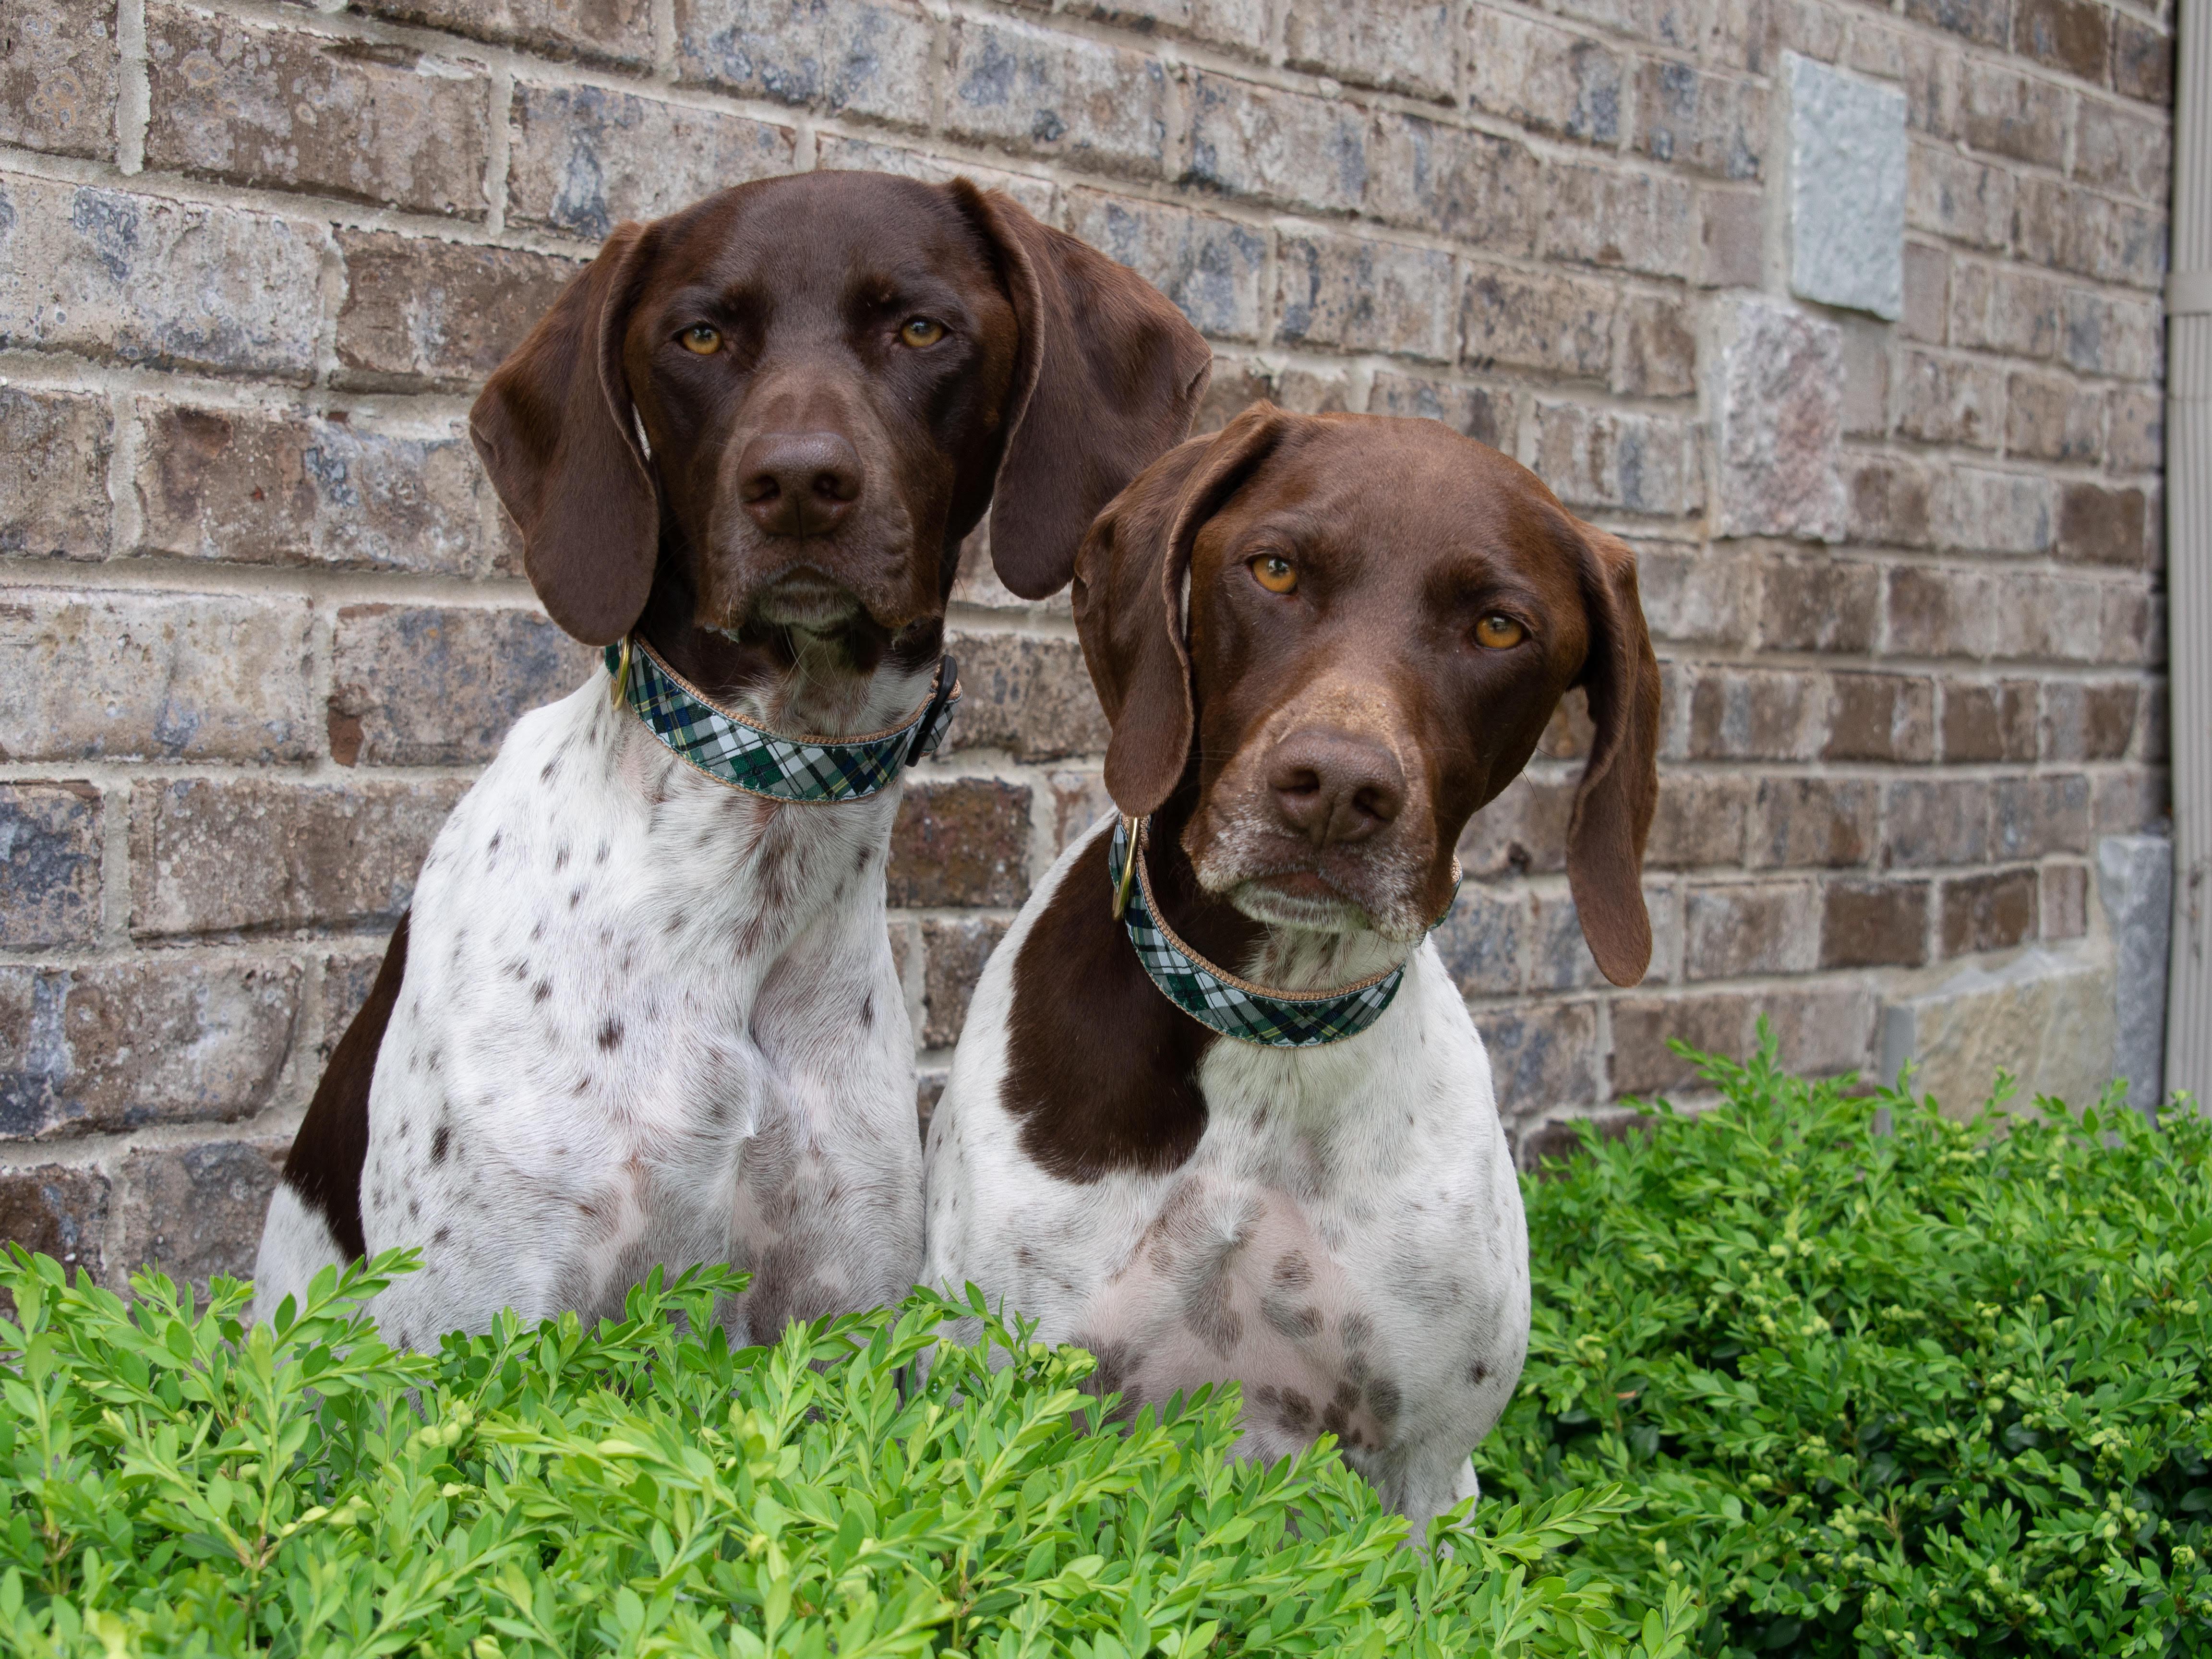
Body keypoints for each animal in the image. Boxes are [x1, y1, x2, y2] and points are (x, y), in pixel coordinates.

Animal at [256, 169, 1212, 1354]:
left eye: (922, 328)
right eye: (700, 335)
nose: (798, 482)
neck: (754, 854)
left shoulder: (835, 1317)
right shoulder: (481, 1326)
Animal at [915, 409, 1663, 1539]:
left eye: (1500, 629)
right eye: (1274, 569)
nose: (1339, 789)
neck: (1268, 1025)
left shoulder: (1426, 1471)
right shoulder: (998, 1399)